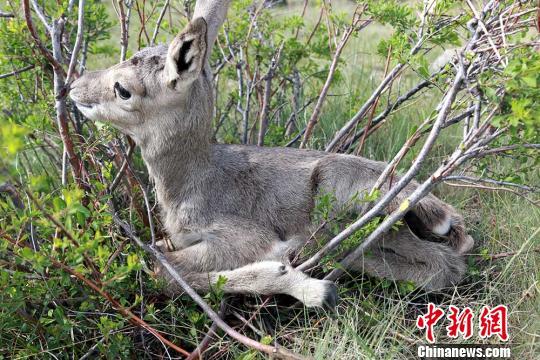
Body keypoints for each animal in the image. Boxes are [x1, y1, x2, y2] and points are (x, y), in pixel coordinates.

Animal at [70, 1, 472, 308]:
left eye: (123, 89)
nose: (75, 86)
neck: (189, 180)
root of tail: (448, 218)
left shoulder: (243, 240)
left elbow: (164, 271)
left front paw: (310, 288)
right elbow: (159, 254)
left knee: (442, 266)